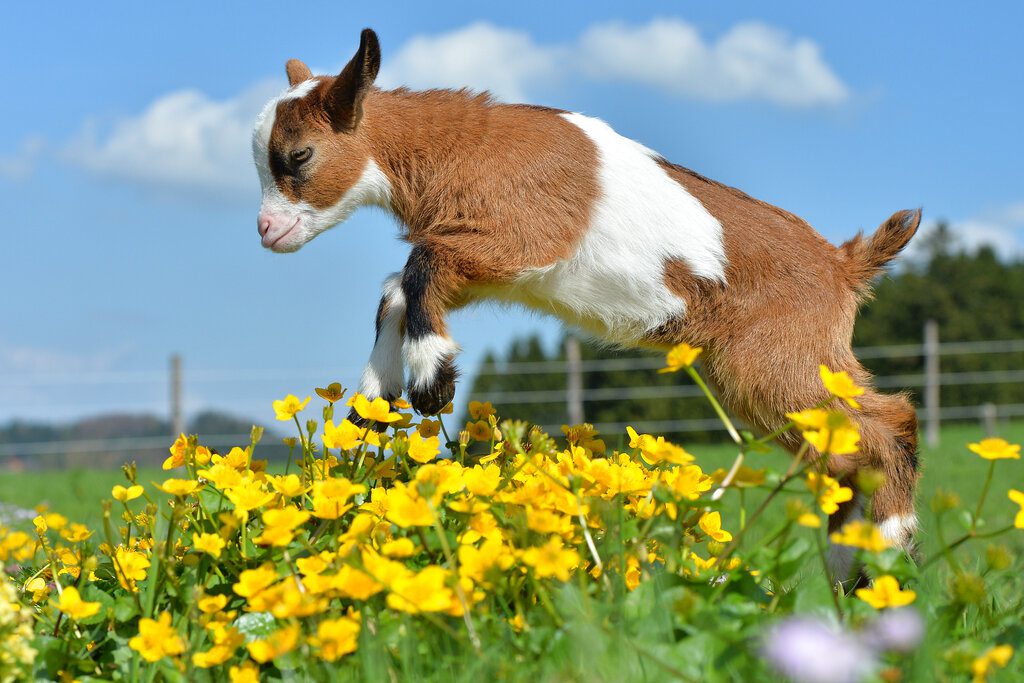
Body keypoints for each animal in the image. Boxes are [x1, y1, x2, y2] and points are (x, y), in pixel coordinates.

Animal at [251, 28, 925, 573]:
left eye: (298, 156)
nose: (265, 230)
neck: (461, 150)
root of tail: (844, 263)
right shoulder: (489, 269)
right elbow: (398, 286)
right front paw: (373, 402)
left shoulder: (518, 239)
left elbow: (418, 269)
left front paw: (431, 384)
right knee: (846, 452)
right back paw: (853, 571)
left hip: (776, 361)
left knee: (884, 423)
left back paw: (891, 547)